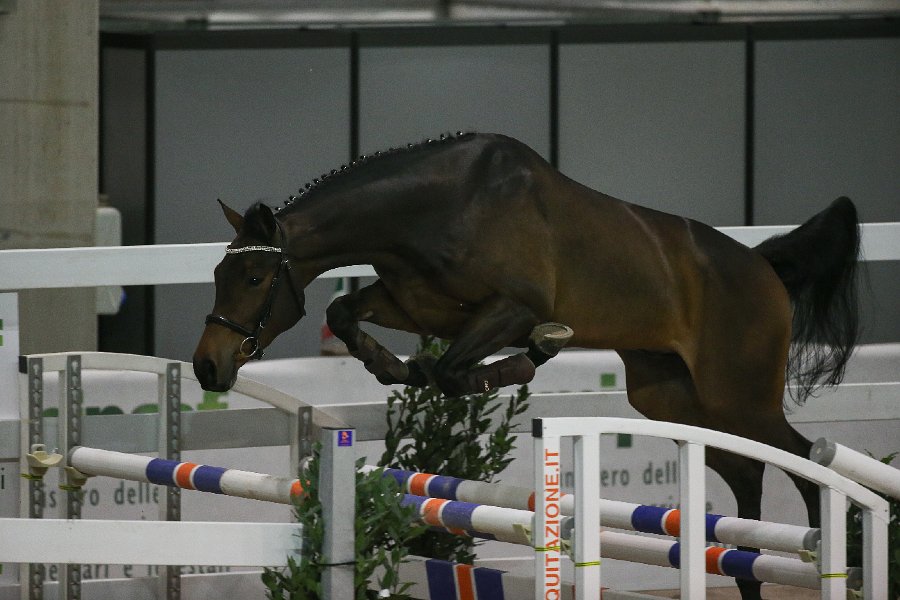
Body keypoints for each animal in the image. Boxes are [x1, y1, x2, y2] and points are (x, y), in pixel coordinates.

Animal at [192, 132, 859, 600]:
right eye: (221, 273)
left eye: (254, 278)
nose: (206, 367)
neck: (434, 207)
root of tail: (764, 266)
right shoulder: (418, 302)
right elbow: (347, 311)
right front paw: (392, 367)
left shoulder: (513, 307)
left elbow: (455, 369)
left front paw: (517, 361)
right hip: (673, 397)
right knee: (748, 471)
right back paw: (748, 569)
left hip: (738, 396)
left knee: (805, 466)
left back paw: (824, 559)